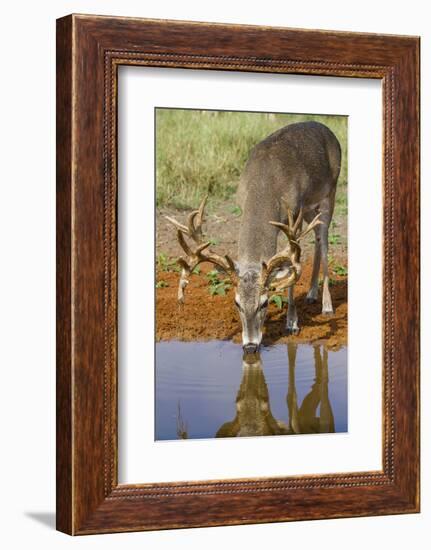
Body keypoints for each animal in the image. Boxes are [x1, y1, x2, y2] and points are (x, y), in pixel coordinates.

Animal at [167, 122, 342, 354]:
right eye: (237, 303)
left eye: (265, 303)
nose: (250, 346)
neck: (265, 184)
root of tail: (327, 129)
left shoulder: (293, 214)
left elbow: (291, 268)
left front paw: (292, 323)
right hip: (309, 209)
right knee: (317, 237)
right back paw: (312, 293)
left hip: (329, 192)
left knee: (324, 240)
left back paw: (327, 305)